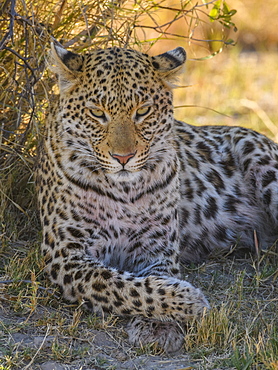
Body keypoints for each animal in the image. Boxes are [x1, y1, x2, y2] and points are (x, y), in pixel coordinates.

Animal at [35, 43, 276, 352]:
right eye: (97, 113)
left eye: (143, 111)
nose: (123, 158)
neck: (123, 191)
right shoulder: (65, 253)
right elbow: (117, 284)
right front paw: (188, 301)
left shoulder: (157, 249)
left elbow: (150, 282)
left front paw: (161, 325)